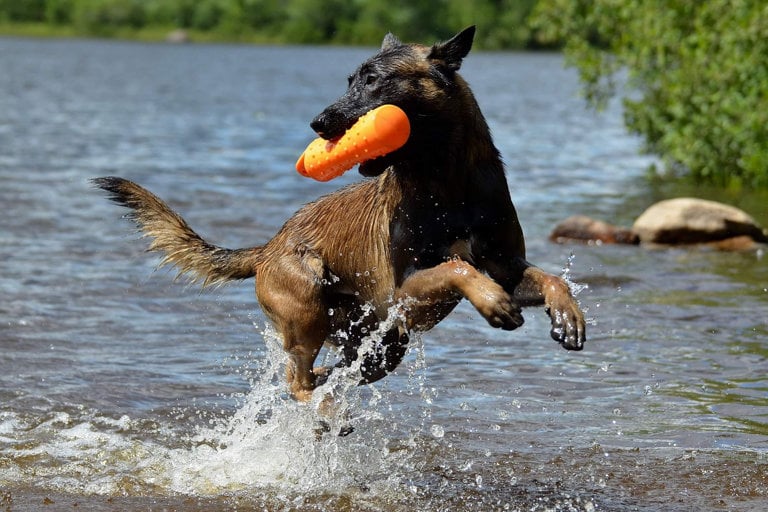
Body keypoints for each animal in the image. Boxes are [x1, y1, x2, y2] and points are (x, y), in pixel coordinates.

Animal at [94, 27, 588, 412]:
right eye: (350, 80)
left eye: (374, 81)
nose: (318, 122)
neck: (447, 183)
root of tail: (267, 248)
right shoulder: (406, 290)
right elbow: (457, 266)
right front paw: (491, 302)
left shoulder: (504, 266)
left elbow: (548, 278)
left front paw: (567, 315)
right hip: (312, 303)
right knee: (297, 381)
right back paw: (325, 411)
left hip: (381, 346)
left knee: (327, 375)